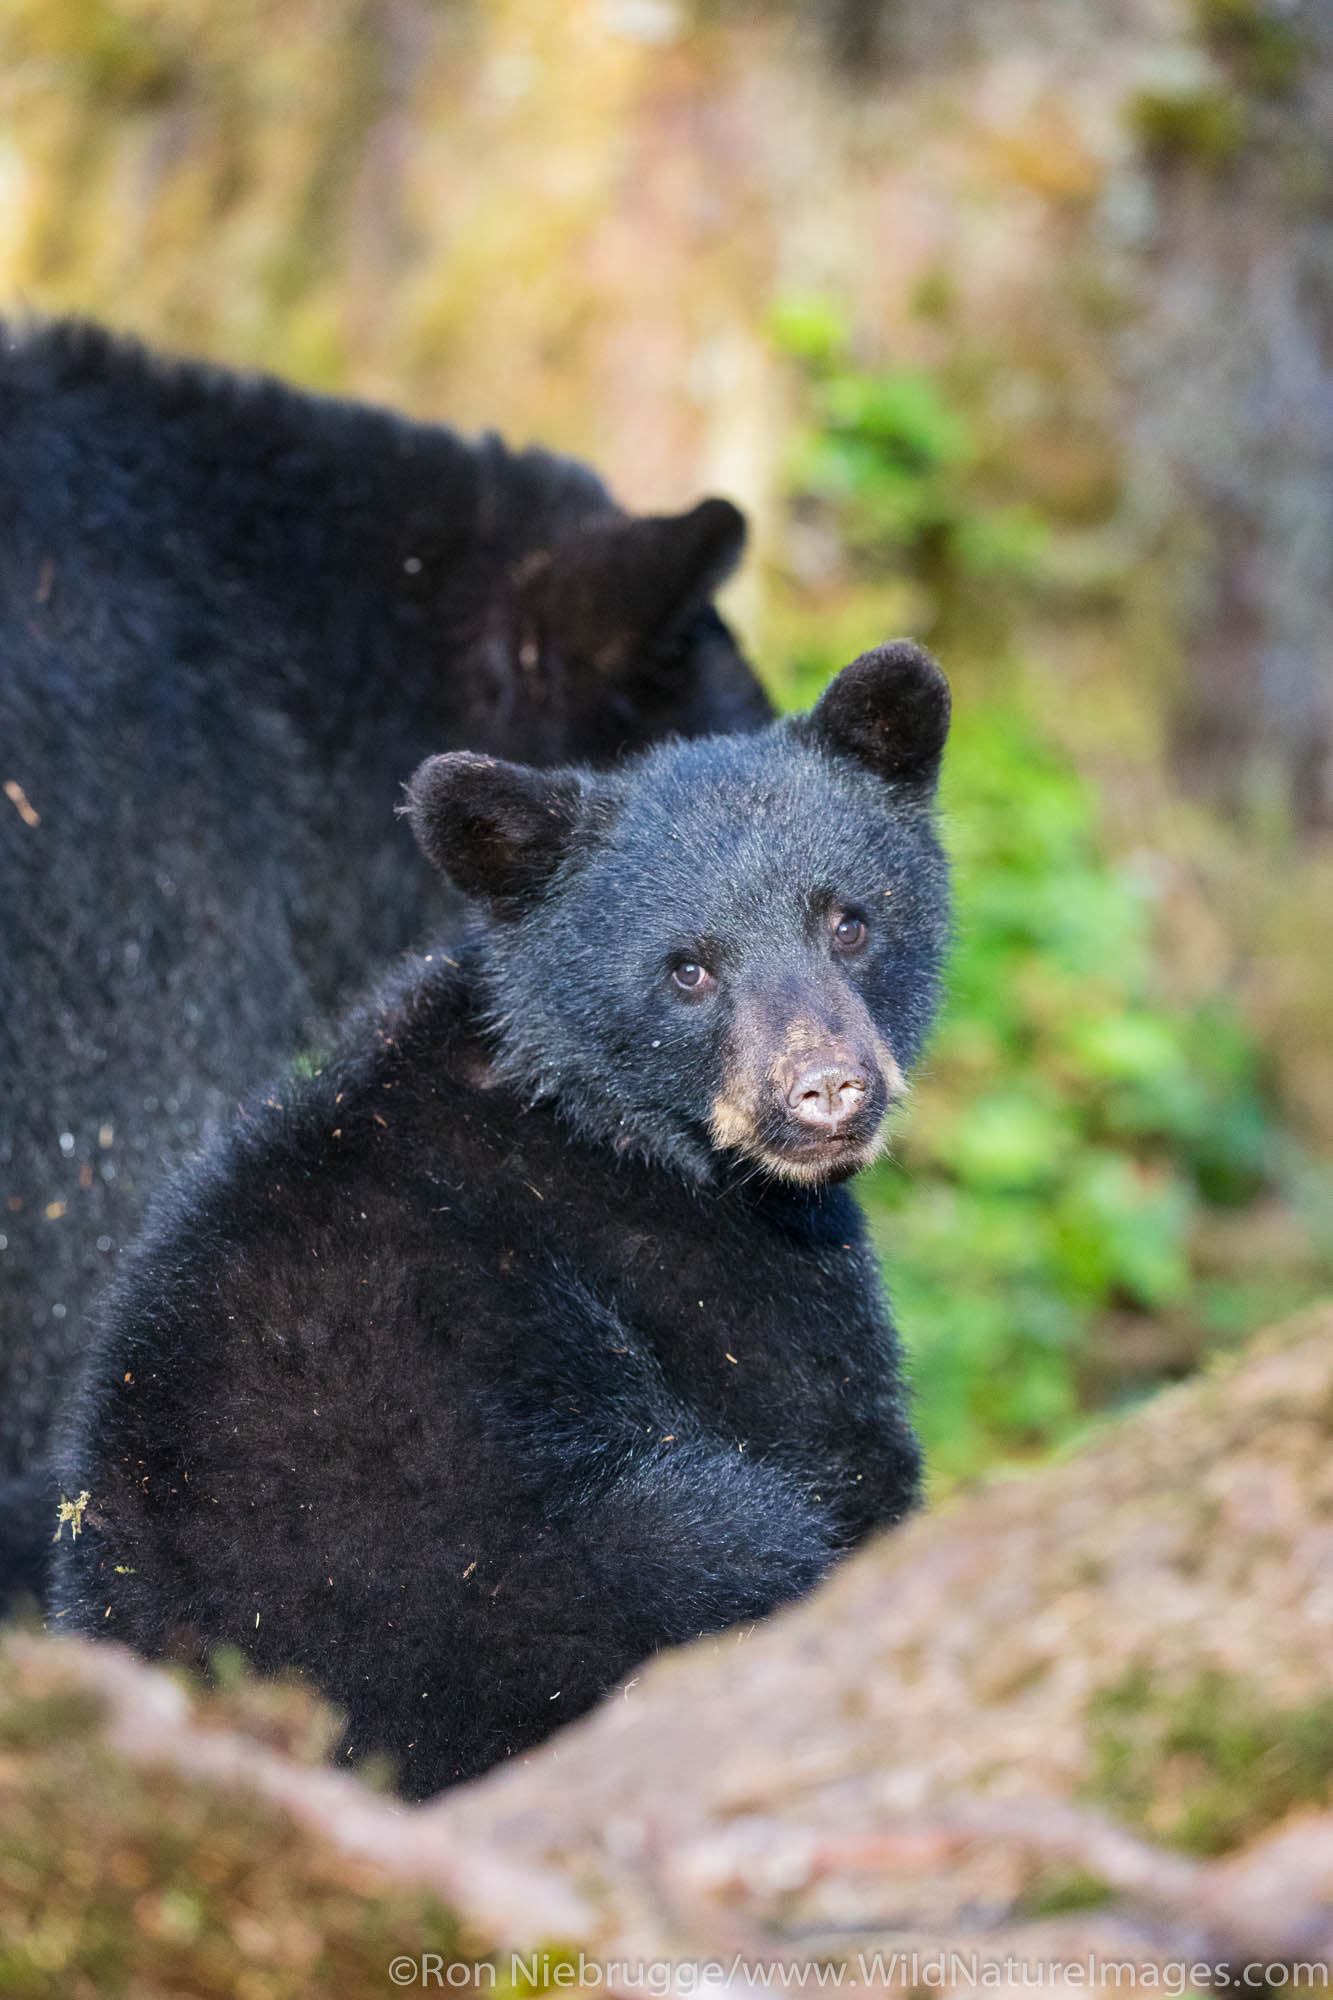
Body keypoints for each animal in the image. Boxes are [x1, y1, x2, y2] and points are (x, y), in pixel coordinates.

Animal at [49, 640, 944, 1800]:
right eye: (686, 967)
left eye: (849, 920)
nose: (826, 1091)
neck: (587, 1110)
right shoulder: (709, 1282)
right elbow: (840, 1452)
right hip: (587, 1566)